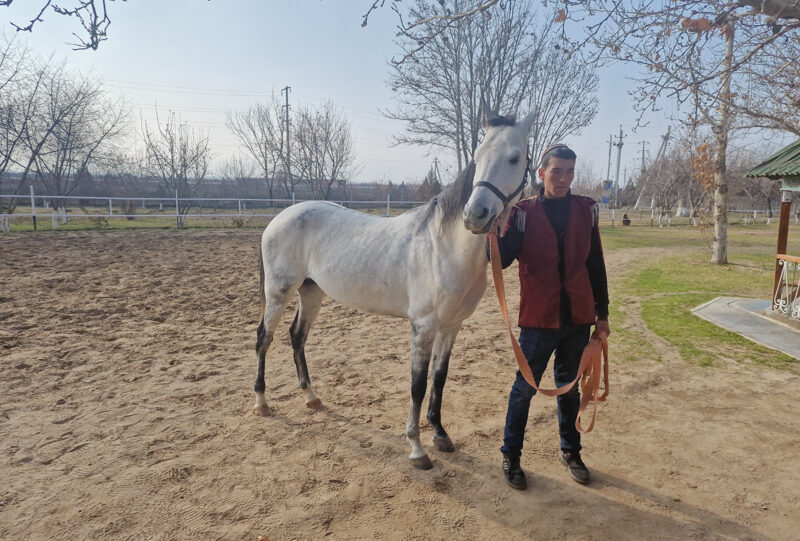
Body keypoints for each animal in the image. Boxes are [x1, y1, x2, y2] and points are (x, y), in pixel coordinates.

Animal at [253, 105, 536, 469]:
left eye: (515, 157)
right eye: (477, 155)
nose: (475, 215)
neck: (445, 247)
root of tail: (281, 217)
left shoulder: (452, 327)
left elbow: (439, 378)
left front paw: (441, 435)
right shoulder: (423, 327)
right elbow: (417, 385)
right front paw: (417, 448)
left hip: (311, 291)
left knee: (296, 336)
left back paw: (312, 398)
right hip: (279, 292)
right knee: (265, 338)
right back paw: (262, 402)